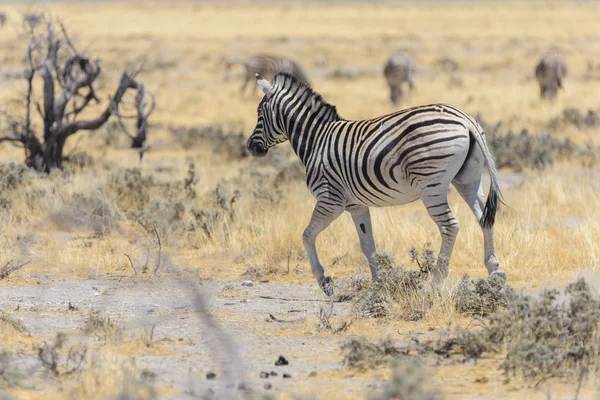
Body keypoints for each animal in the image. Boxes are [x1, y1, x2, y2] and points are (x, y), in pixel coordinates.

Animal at [246, 73, 504, 296]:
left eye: (259, 113)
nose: (250, 147)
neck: (316, 140)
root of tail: (465, 119)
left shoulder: (331, 199)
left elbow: (307, 235)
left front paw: (324, 281)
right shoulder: (356, 206)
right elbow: (368, 244)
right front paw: (380, 283)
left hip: (431, 185)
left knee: (449, 226)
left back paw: (435, 283)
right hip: (468, 180)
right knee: (485, 219)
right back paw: (494, 273)